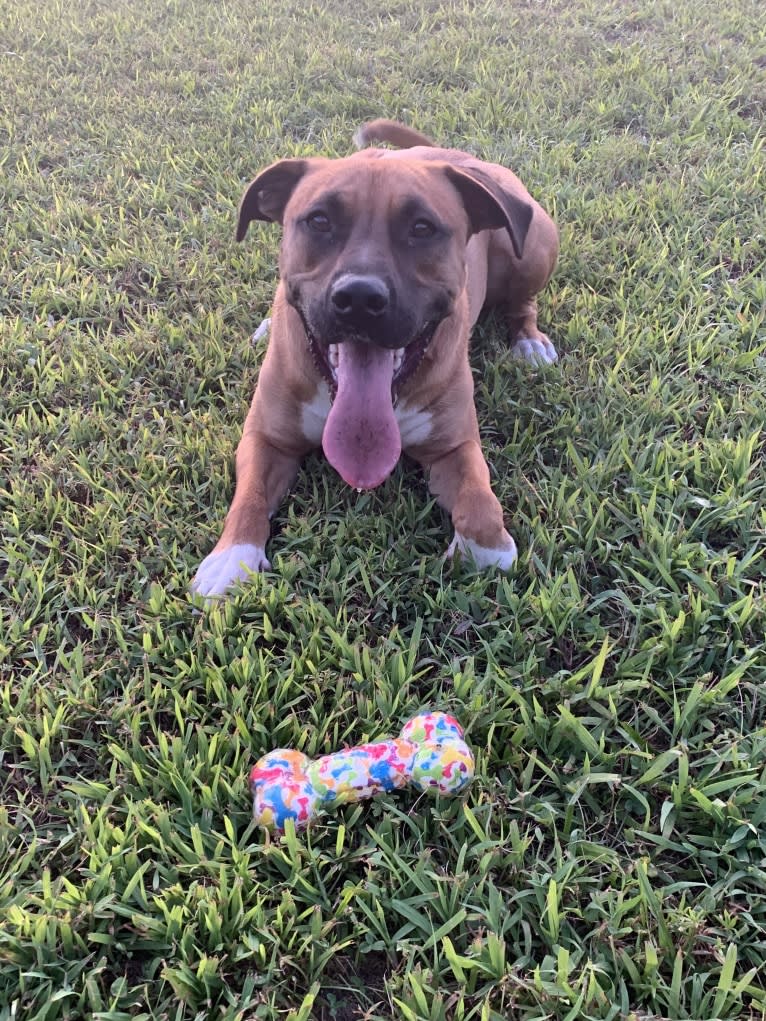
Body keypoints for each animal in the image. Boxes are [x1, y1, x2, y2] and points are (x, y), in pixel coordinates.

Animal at [192, 119, 559, 596]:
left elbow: (478, 493)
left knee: (523, 302)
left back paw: (529, 341)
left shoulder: (455, 446)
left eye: (422, 228)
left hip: (533, 247)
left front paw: (487, 549)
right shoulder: (265, 438)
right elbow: (248, 495)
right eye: (319, 221)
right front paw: (230, 558)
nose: (359, 298)